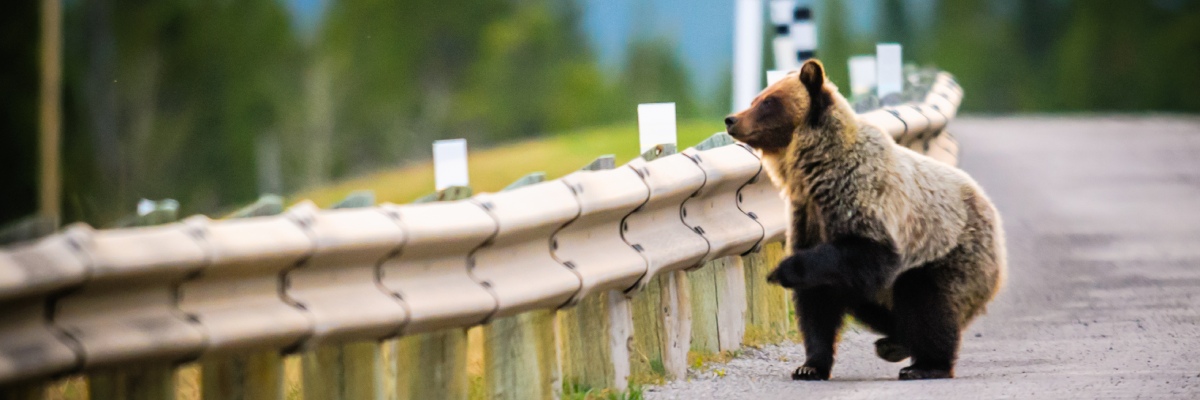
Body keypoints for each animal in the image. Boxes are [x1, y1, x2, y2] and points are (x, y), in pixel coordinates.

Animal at [724, 60, 1008, 379]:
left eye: (769, 101)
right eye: (756, 98)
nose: (732, 119)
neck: (814, 172)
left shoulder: (862, 198)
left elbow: (869, 253)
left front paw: (780, 271)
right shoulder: (807, 214)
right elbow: (817, 302)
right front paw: (810, 366)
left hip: (950, 249)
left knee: (926, 300)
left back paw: (926, 364)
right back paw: (894, 344)